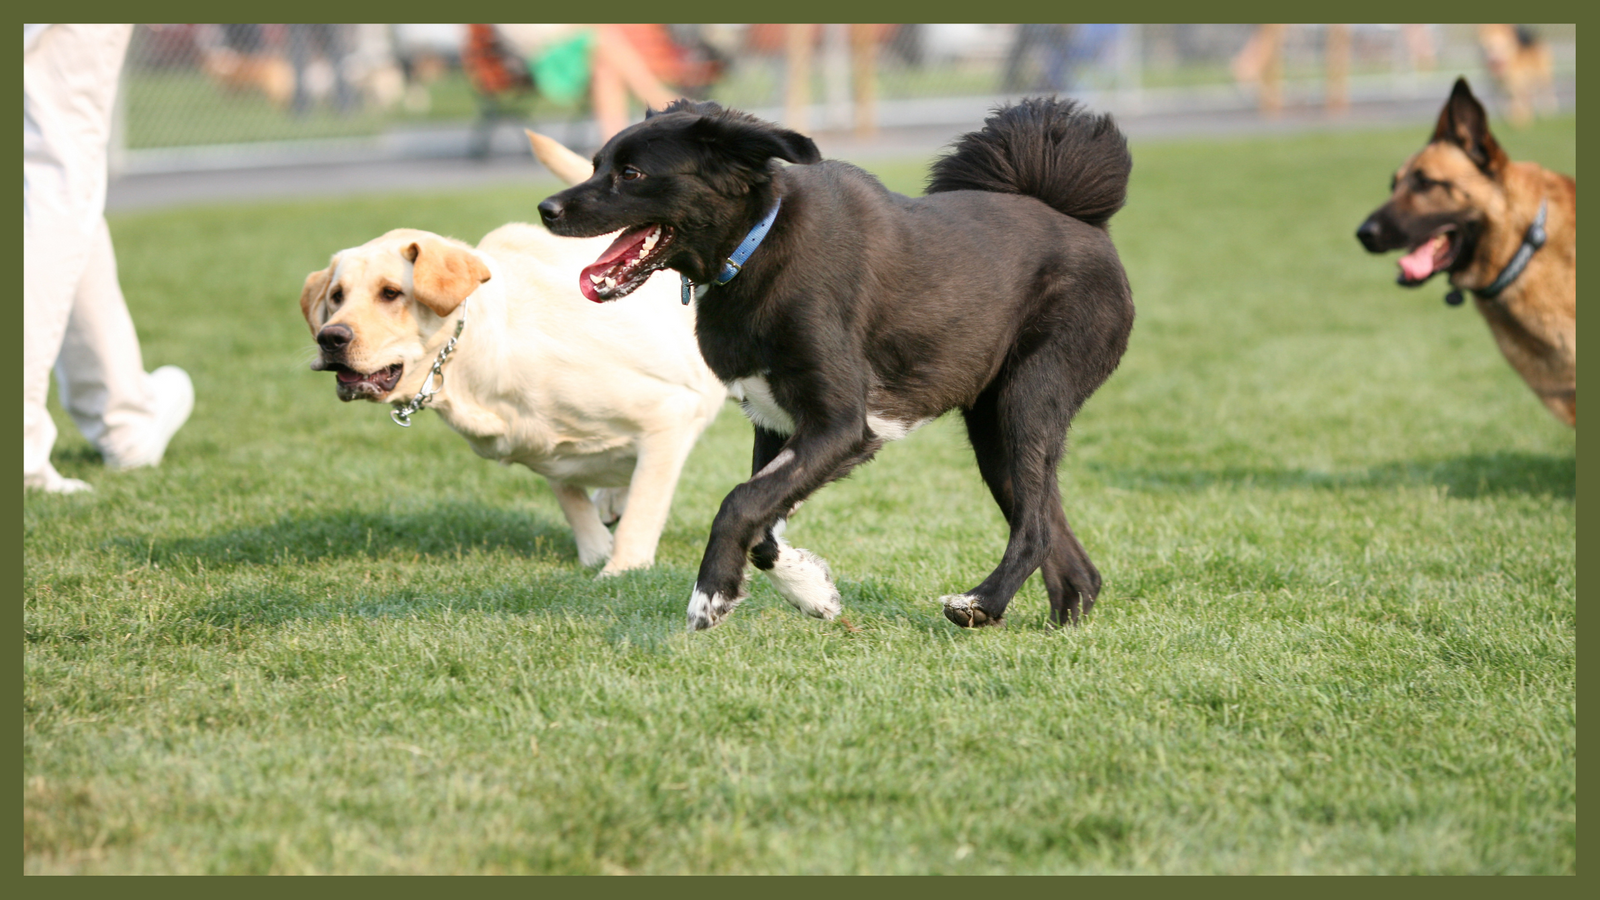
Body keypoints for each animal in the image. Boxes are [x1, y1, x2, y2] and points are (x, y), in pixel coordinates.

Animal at [540, 98, 1139, 627]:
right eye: (596, 165)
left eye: (632, 173)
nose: (546, 209)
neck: (758, 244)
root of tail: (1085, 223)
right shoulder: (777, 423)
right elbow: (763, 526)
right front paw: (811, 591)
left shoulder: (842, 424)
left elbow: (740, 502)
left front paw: (711, 595)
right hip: (995, 433)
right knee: (1068, 556)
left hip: (1028, 399)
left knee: (1035, 529)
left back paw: (981, 604)